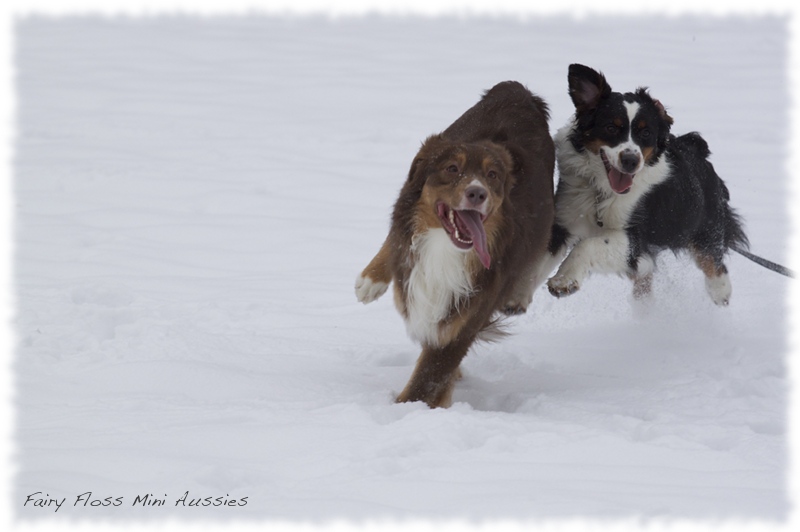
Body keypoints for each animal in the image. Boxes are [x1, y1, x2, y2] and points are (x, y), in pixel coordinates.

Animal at [356, 82, 556, 408]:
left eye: (492, 175)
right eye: (452, 168)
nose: (477, 193)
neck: (444, 249)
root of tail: (517, 90)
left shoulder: (464, 320)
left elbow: (425, 381)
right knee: (398, 224)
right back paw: (370, 280)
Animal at [548, 64, 748, 306]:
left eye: (645, 132)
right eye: (611, 128)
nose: (631, 161)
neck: (602, 191)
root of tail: (697, 149)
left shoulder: (635, 239)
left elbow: (587, 245)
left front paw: (563, 280)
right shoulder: (564, 221)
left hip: (705, 225)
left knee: (713, 260)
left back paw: (721, 291)